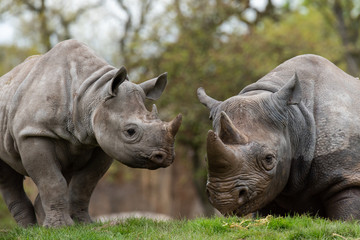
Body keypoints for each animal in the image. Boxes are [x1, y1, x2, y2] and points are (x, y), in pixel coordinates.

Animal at [0, 39, 181, 227]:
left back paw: (41, 226)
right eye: (130, 132)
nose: (166, 157)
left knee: (65, 170)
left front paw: (83, 224)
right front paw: (61, 227)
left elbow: (85, 183)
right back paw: (29, 229)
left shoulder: (101, 142)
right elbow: (51, 180)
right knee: (9, 178)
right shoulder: (33, 132)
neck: (92, 93)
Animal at [198, 54, 360, 221]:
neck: (294, 116)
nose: (224, 199)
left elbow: (347, 215)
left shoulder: (346, 175)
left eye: (269, 159)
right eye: (205, 159)